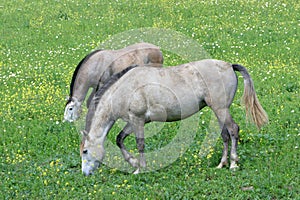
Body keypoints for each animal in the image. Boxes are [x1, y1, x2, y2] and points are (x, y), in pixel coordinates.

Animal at [79, 59, 268, 175]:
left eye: (85, 151)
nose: (86, 174)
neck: (124, 89)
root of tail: (229, 65)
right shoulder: (134, 122)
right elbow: (120, 139)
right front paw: (133, 163)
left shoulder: (137, 119)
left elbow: (140, 144)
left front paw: (140, 168)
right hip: (219, 111)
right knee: (225, 135)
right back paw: (221, 164)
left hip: (221, 110)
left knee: (233, 130)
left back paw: (234, 164)